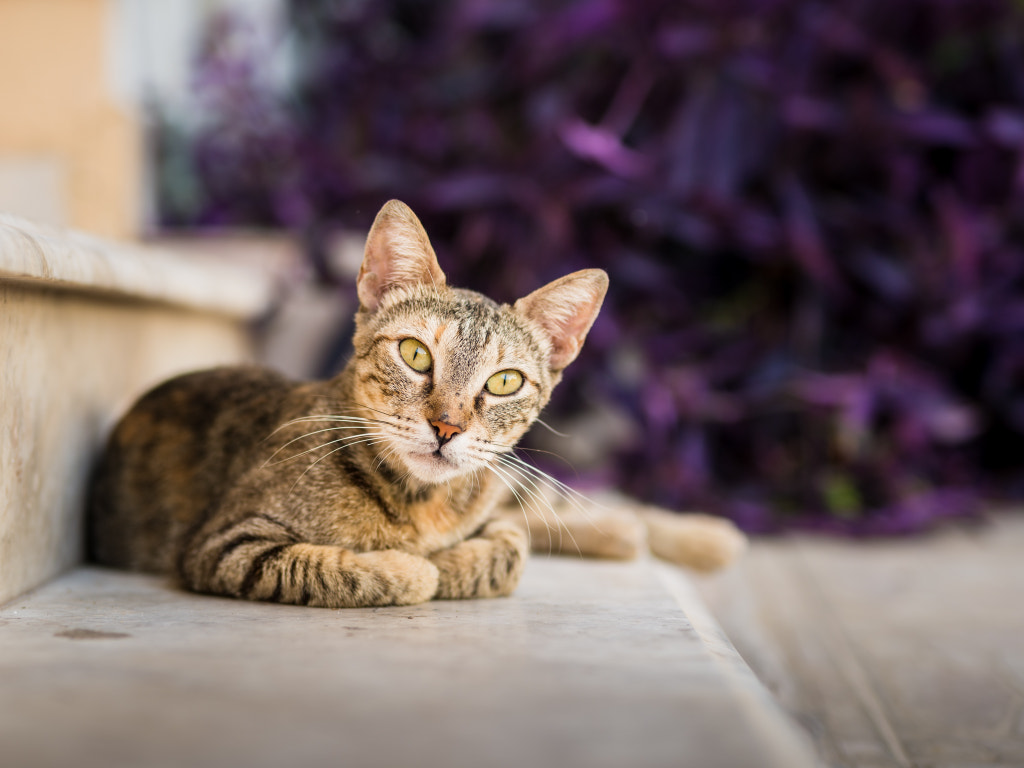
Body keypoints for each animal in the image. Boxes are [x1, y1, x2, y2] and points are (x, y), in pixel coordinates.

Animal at [88, 198, 745, 606]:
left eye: (504, 382)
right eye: (415, 354)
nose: (447, 426)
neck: (422, 506)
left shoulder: (494, 510)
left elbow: (507, 551)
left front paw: (446, 562)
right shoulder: (225, 544)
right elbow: (328, 566)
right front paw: (413, 567)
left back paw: (695, 536)